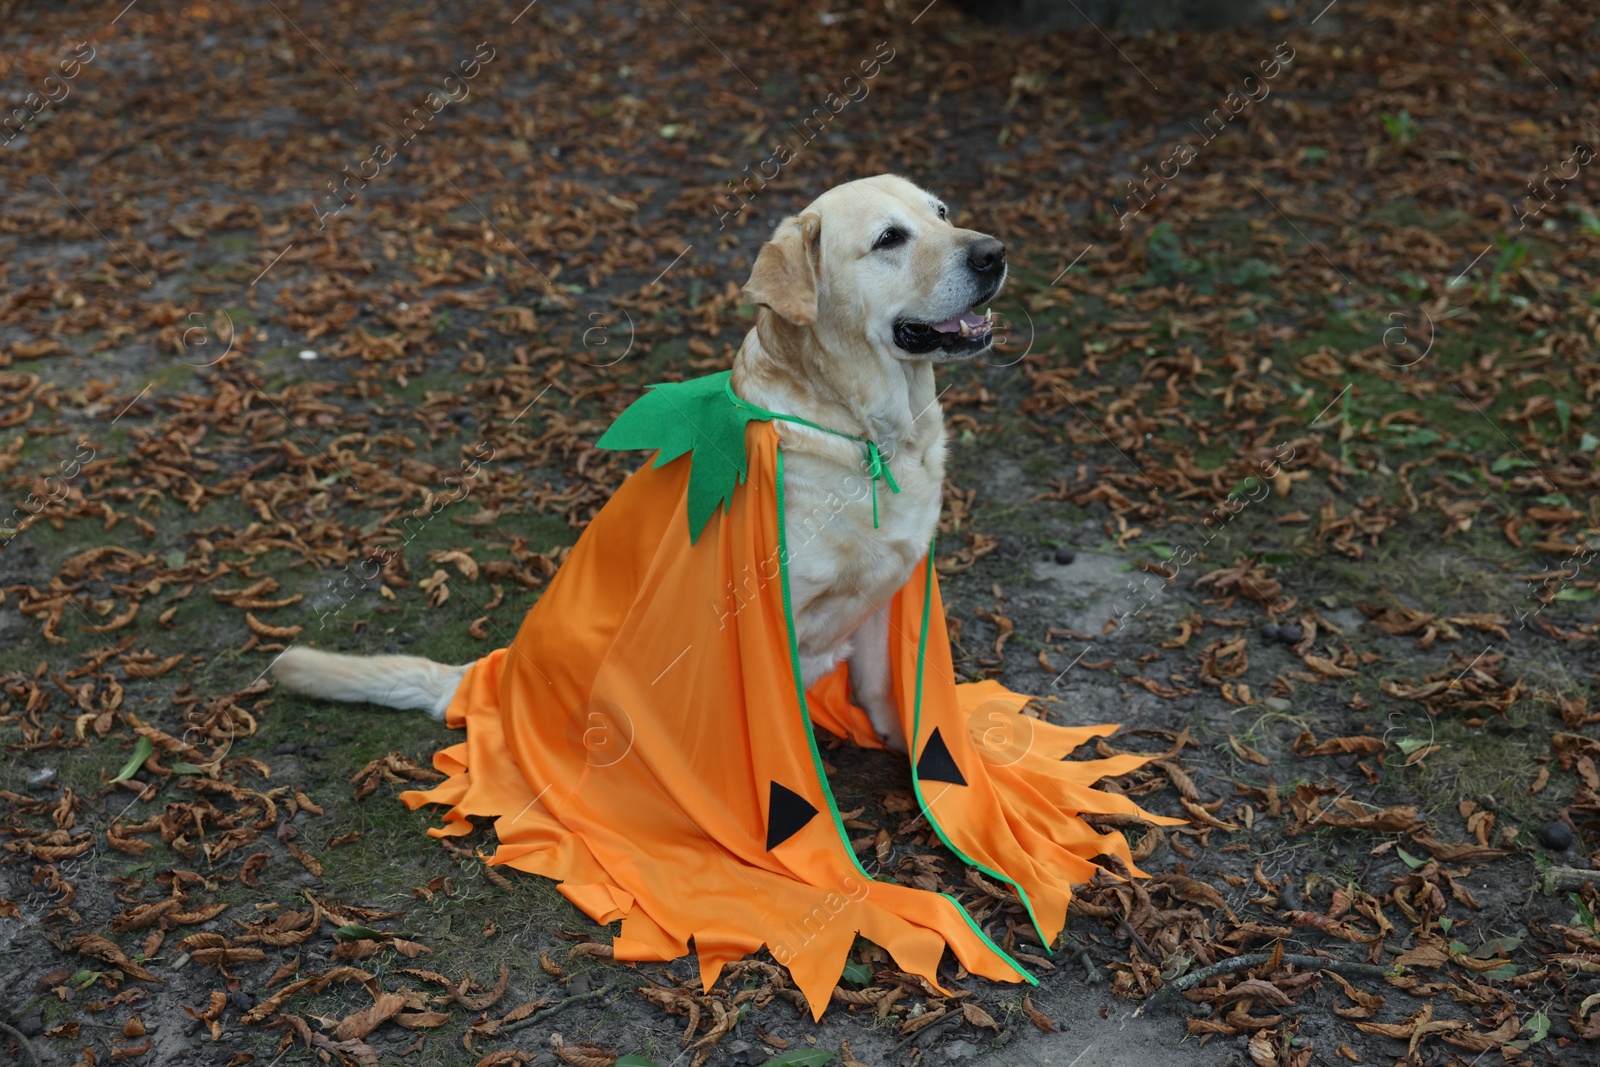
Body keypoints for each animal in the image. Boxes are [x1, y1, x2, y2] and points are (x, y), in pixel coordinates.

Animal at [272, 175, 998, 755]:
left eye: (942, 211)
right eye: (889, 238)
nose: (994, 253)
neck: (868, 434)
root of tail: (495, 676)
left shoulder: (885, 593)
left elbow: (883, 692)